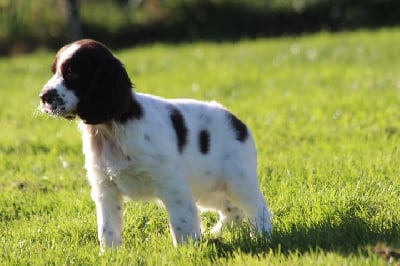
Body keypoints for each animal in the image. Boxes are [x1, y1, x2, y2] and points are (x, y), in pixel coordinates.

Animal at [39, 39, 274, 249]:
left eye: (72, 73)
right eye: (54, 71)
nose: (43, 97)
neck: (111, 129)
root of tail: (237, 121)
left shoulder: (171, 183)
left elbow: (181, 222)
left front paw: (187, 251)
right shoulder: (105, 187)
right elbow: (107, 228)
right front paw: (110, 255)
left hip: (237, 179)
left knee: (258, 207)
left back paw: (262, 236)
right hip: (207, 186)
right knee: (232, 209)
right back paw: (217, 232)